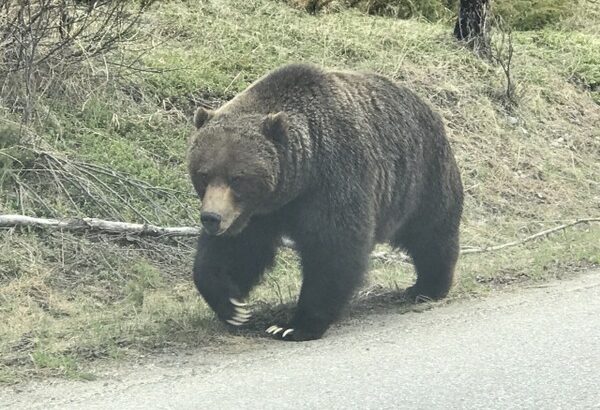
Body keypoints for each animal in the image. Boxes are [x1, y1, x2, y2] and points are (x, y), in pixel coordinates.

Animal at [189, 62, 464, 342]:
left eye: (237, 178)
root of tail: (427, 105)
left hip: (422, 176)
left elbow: (333, 249)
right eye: (204, 174)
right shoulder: (259, 212)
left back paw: (428, 287)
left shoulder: (334, 179)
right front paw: (233, 306)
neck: (300, 177)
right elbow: (239, 249)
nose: (211, 218)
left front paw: (294, 325)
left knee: (431, 233)